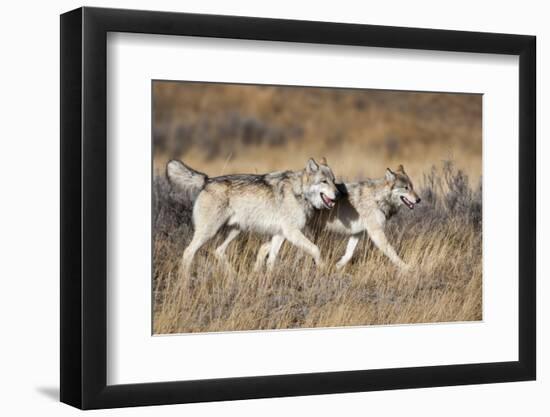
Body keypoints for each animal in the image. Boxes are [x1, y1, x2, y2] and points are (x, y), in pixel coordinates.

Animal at [167, 157, 340, 272]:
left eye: (333, 180)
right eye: (324, 181)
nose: (339, 194)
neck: (300, 191)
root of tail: (207, 180)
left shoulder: (280, 234)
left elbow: (270, 259)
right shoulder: (291, 232)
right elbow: (316, 249)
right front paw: (323, 269)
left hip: (235, 230)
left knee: (218, 251)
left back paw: (233, 278)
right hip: (209, 232)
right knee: (188, 252)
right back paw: (184, 284)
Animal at [256, 164, 422, 272]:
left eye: (412, 187)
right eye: (406, 188)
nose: (419, 199)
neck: (377, 198)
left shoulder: (357, 233)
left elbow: (349, 254)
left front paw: (337, 266)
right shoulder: (376, 233)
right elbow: (392, 252)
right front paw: (407, 267)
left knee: (264, 247)